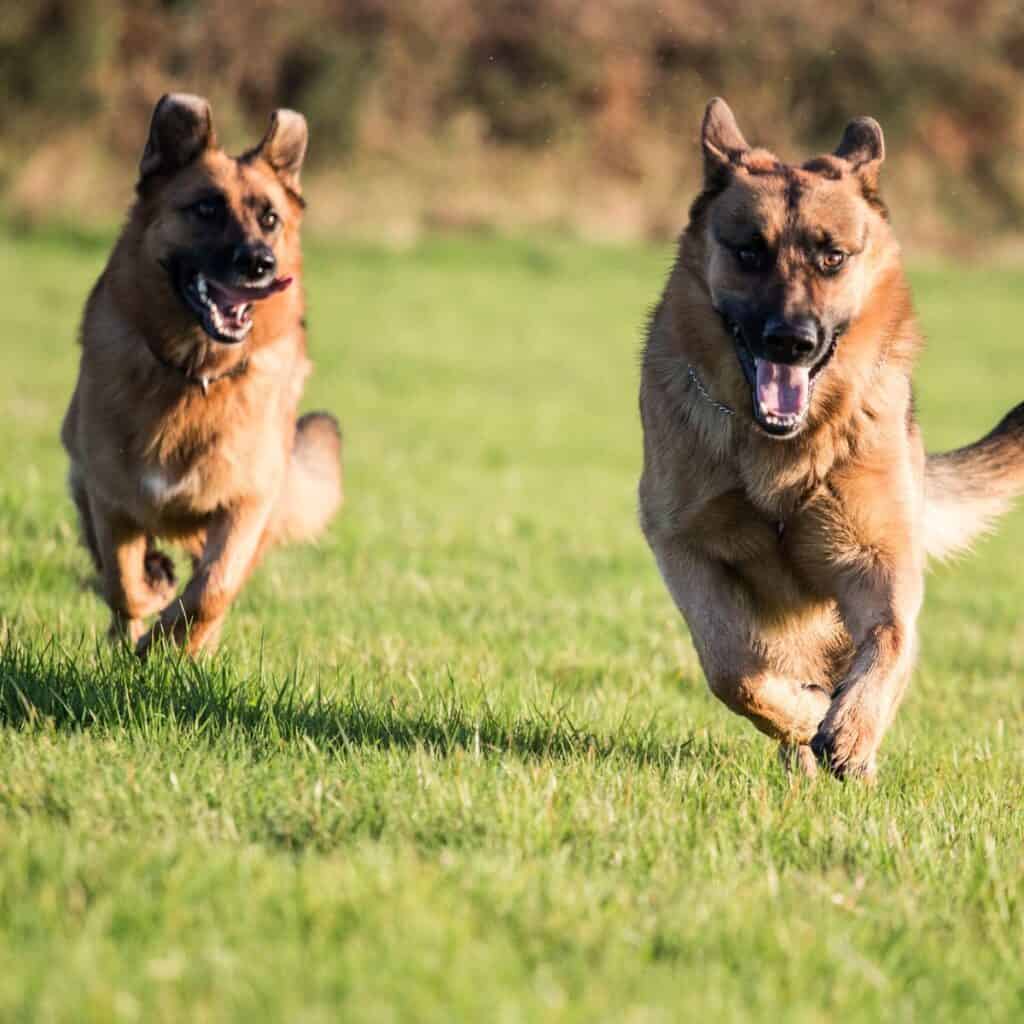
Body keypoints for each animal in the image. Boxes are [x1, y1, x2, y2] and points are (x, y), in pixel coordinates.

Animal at [61, 94, 342, 655]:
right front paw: (147, 604)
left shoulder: (246, 506)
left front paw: (169, 644)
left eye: (270, 218)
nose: (260, 263)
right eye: (207, 209)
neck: (194, 376)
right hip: (79, 470)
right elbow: (122, 582)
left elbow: (212, 590)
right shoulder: (111, 498)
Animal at [638, 99, 1024, 778]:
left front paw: (851, 731)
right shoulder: (683, 545)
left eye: (832, 258)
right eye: (750, 252)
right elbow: (733, 666)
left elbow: (891, 638)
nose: (791, 341)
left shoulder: (878, 561)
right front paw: (803, 713)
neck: (781, 450)